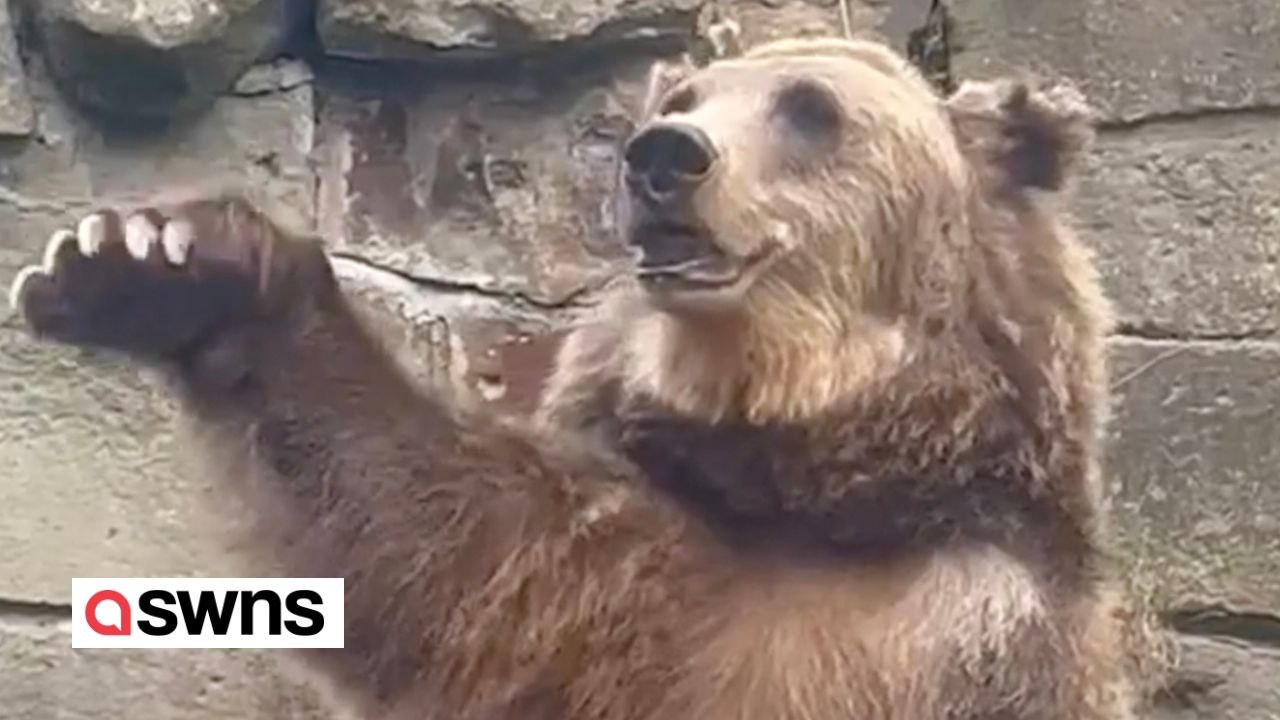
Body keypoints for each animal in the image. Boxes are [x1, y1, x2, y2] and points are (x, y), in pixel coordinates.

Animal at [9, 34, 1136, 720]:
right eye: (684, 96)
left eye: (811, 108)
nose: (663, 154)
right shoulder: (620, 581)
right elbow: (444, 544)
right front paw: (154, 262)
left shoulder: (960, 639)